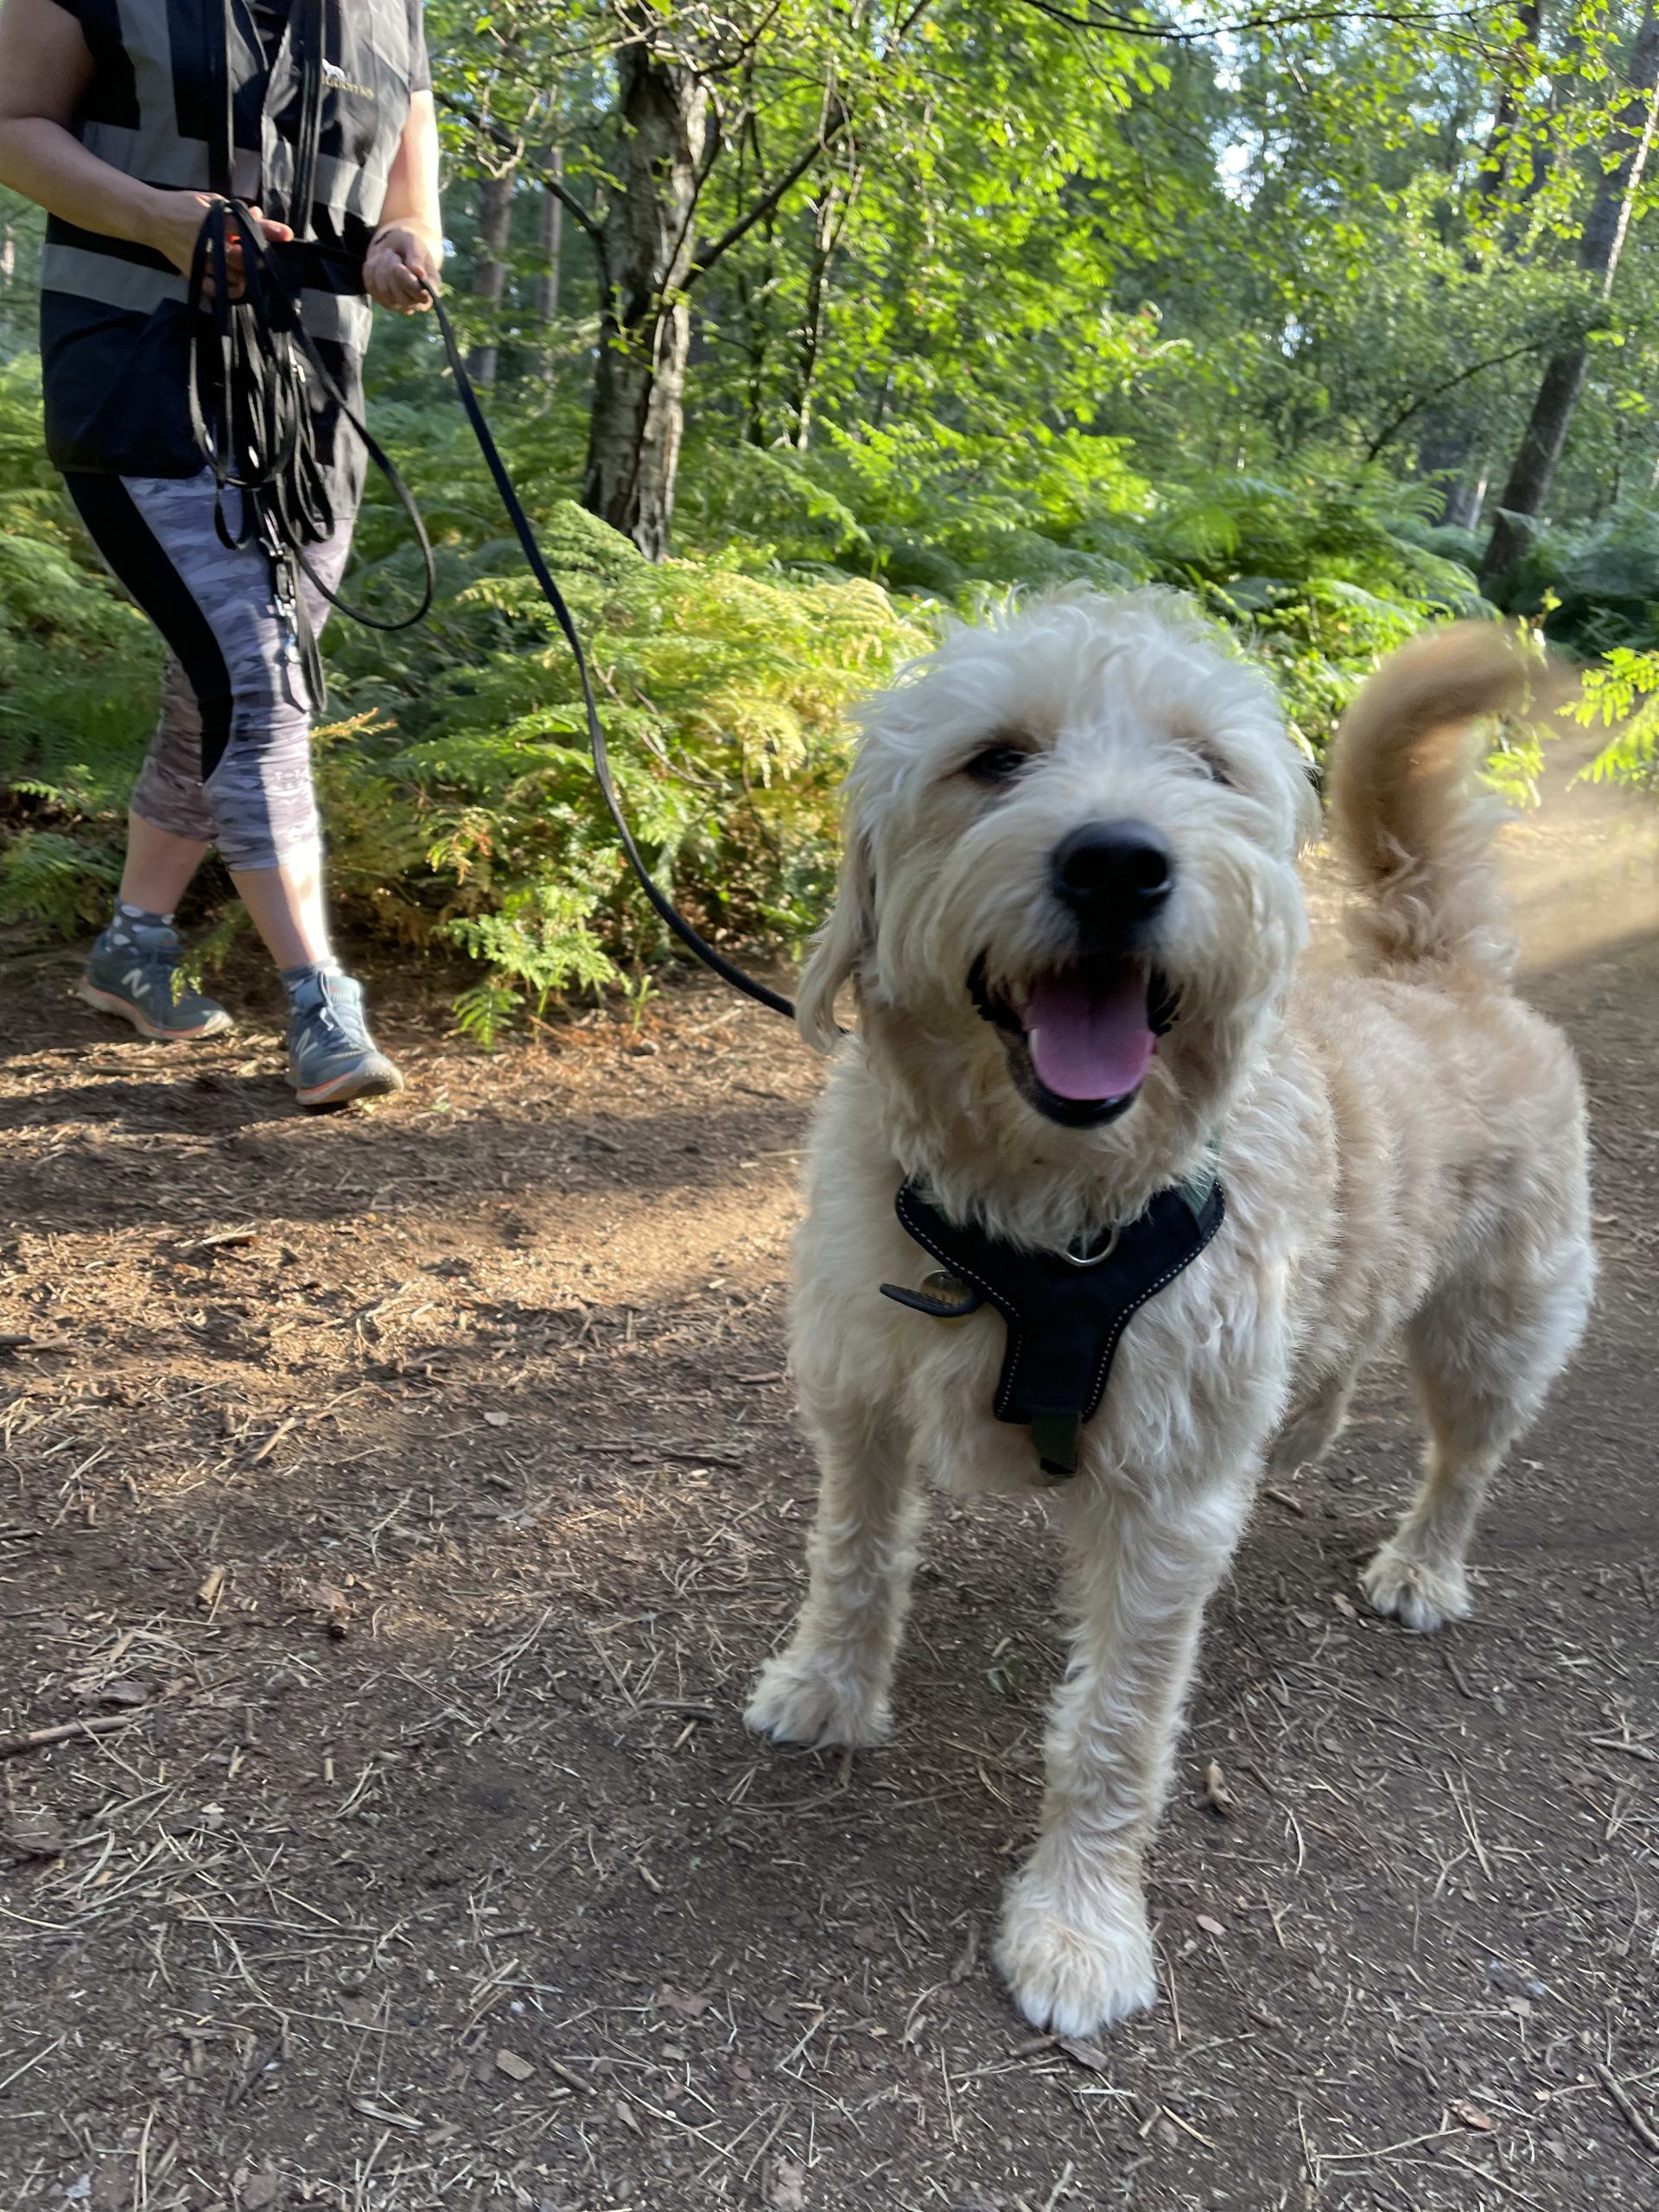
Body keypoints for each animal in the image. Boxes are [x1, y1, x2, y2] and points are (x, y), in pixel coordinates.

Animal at [744, 591, 1594, 2038]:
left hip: (1497, 1325)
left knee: (1466, 1458)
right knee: (1331, 1354)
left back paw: (1425, 1564)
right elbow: (853, 1558)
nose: (1119, 862)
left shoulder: (1169, 1497)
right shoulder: (860, 1395)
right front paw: (828, 1689)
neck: (1046, 1211)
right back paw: (1307, 1434)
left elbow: (1117, 1727)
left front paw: (1079, 1928)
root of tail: (1443, 971)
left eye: (1208, 766)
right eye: (996, 759)